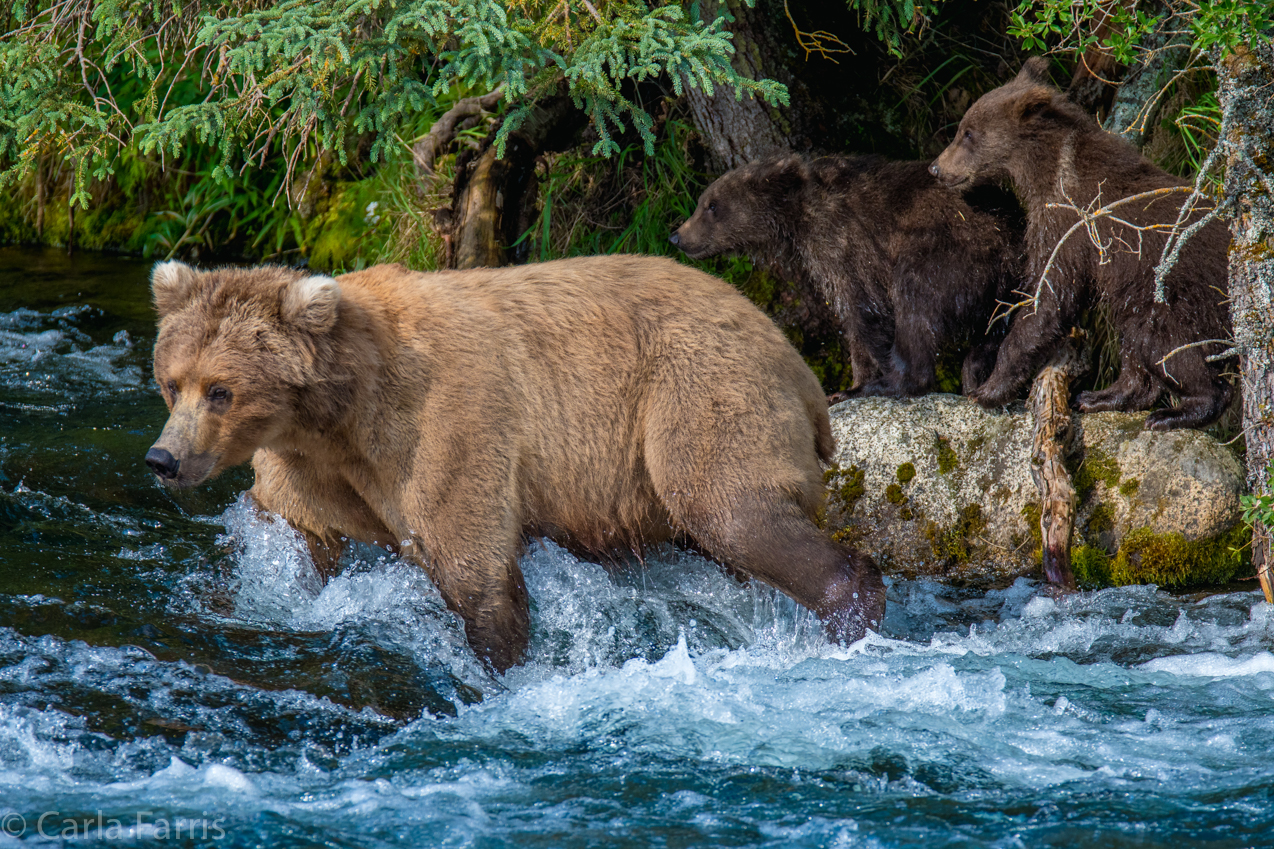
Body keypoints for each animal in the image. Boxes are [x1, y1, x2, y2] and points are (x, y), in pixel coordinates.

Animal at [144, 254, 886, 673]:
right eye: (171, 381)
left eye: (221, 389)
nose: (163, 459)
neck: (341, 411)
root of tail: (798, 363)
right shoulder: (315, 469)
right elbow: (295, 538)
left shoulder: (445, 423)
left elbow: (471, 559)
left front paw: (502, 666)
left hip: (698, 395)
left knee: (733, 509)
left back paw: (849, 614)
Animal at [672, 155, 1019, 397]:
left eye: (711, 205)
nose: (677, 236)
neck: (798, 217)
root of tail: (1005, 235)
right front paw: (854, 384)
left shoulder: (844, 243)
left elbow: (862, 308)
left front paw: (856, 384)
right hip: (1002, 284)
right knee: (993, 331)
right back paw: (974, 376)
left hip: (947, 251)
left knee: (915, 302)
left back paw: (897, 382)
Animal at [927, 58, 1233, 430]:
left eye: (968, 133)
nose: (935, 168)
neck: (1047, 171)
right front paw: (976, 367)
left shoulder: (1069, 226)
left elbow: (1048, 295)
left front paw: (989, 388)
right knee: (1135, 340)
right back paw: (1099, 396)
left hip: (1179, 291)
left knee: (1169, 345)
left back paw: (1176, 412)